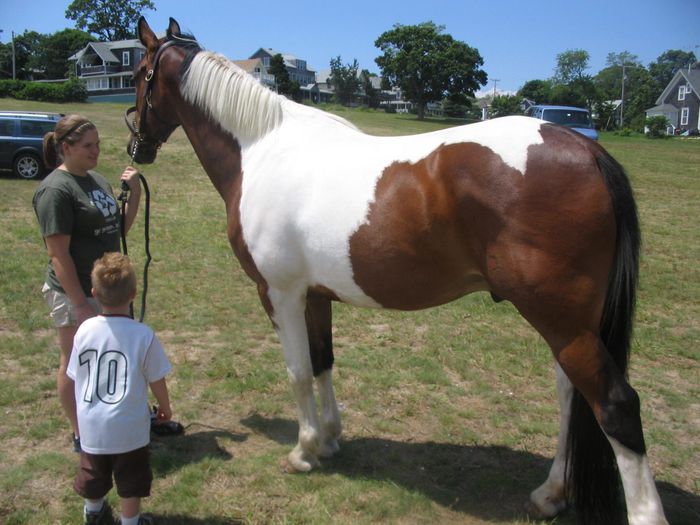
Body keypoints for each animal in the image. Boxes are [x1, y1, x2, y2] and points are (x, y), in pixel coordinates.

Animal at [129, 17, 668, 524]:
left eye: (138, 74)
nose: (137, 148)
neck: (261, 151)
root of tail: (589, 151)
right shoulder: (316, 295)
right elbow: (322, 362)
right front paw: (330, 440)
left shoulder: (279, 293)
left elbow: (298, 371)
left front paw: (303, 451)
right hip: (572, 327)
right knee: (572, 398)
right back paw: (550, 494)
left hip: (563, 324)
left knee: (615, 406)